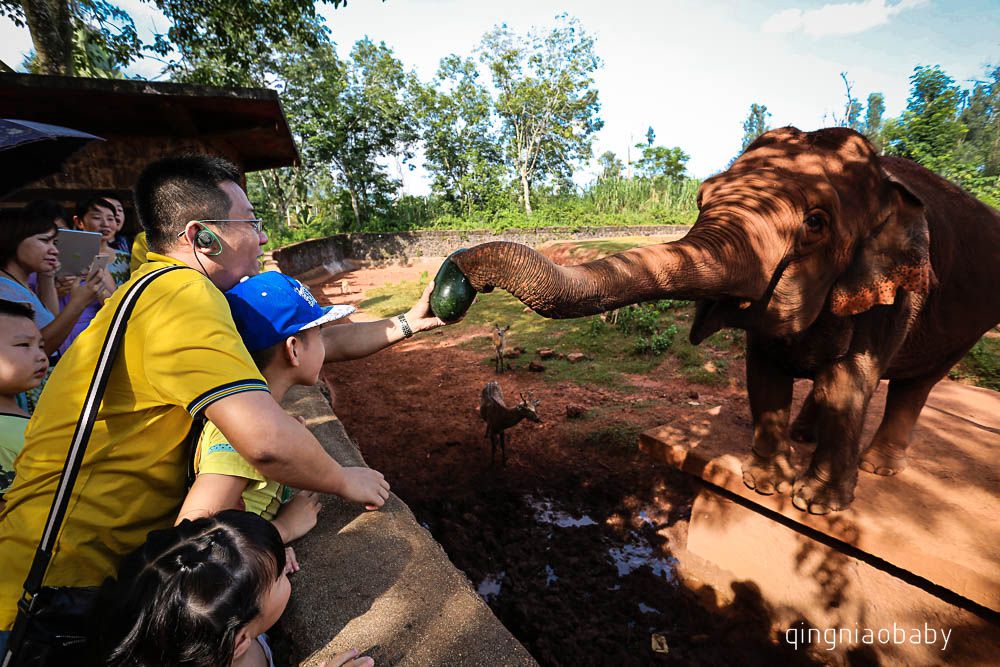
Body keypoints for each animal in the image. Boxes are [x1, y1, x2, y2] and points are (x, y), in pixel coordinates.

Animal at [448, 129, 1000, 516]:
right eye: (701, 198)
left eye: (815, 224)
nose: (462, 270)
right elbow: (764, 373)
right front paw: (762, 484)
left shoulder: (890, 288)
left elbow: (851, 382)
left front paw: (815, 505)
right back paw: (805, 436)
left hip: (968, 321)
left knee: (916, 385)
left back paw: (878, 467)